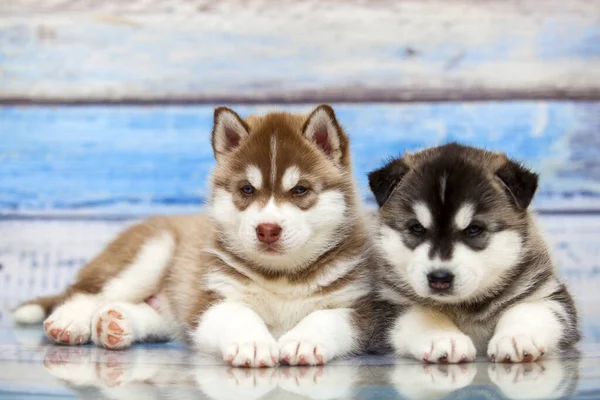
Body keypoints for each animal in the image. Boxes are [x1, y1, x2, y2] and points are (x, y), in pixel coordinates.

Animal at [15, 104, 370, 368]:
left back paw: (116, 324)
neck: (282, 276)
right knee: (85, 291)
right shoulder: (211, 298)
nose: (267, 229)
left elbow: (328, 317)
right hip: (150, 251)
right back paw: (70, 321)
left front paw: (302, 340)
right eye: (247, 189)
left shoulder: (363, 307)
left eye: (300, 190)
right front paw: (253, 343)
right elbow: (239, 313)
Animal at [368, 143, 580, 362]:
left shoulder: (549, 293)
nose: (439, 278)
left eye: (474, 229)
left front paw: (516, 336)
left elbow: (528, 309)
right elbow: (420, 314)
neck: (467, 306)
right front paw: (443, 337)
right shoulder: (384, 307)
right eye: (417, 228)